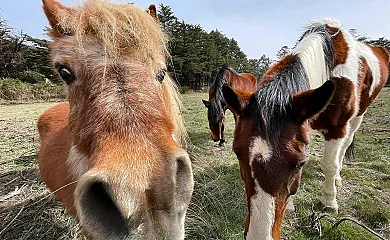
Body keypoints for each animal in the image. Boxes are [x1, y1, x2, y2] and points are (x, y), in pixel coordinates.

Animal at [221, 17, 388, 239]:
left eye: (299, 164)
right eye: (237, 153)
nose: (259, 235)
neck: (328, 66)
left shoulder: (337, 127)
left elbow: (330, 164)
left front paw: (329, 201)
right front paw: (291, 204)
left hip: (357, 117)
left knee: (344, 147)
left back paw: (336, 179)